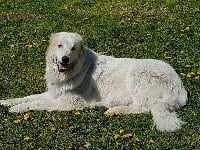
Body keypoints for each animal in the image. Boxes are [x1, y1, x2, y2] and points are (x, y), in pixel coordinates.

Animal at [0, 31, 188, 131]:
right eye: (60, 46)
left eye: (73, 48)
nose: (65, 59)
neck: (74, 70)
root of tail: (181, 88)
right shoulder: (54, 93)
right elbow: (29, 97)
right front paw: (8, 101)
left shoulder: (71, 103)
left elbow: (37, 103)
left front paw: (18, 109)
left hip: (138, 76)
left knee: (143, 107)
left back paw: (115, 110)